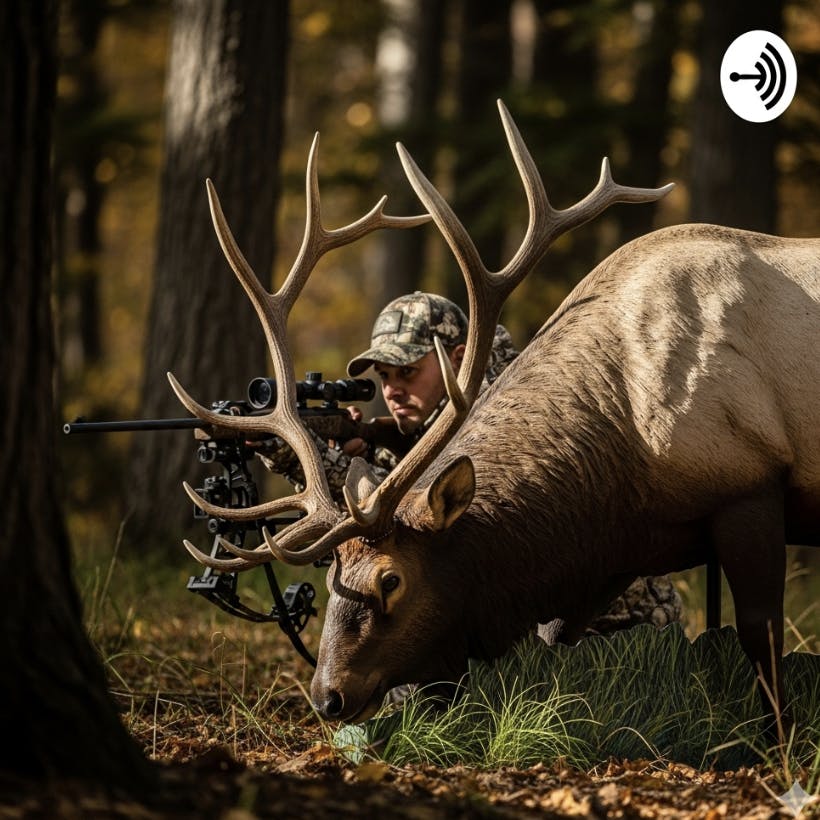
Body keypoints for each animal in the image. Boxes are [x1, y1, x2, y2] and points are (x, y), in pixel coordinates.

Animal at [169, 100, 820, 725]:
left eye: (391, 580)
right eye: (329, 579)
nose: (326, 697)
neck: (629, 479)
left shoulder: (750, 486)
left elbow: (761, 642)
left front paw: (780, 747)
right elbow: (556, 636)